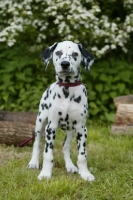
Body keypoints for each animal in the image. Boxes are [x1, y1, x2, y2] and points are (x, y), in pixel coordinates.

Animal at [27, 40, 94, 181]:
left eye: (75, 54)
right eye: (58, 52)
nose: (65, 64)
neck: (67, 90)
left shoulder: (82, 129)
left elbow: (82, 156)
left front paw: (85, 174)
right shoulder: (50, 127)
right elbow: (47, 154)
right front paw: (45, 173)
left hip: (71, 131)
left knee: (65, 147)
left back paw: (70, 166)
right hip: (40, 122)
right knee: (37, 144)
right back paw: (33, 163)